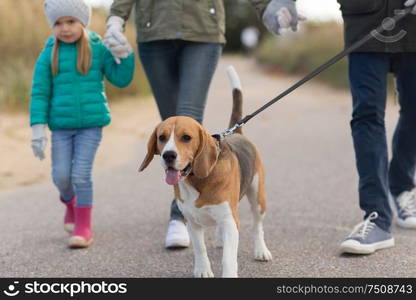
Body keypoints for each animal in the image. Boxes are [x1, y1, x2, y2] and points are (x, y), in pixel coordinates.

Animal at [138, 67, 272, 278]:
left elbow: (228, 259)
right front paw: (202, 270)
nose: (168, 155)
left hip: (258, 198)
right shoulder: (192, 222)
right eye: (162, 137)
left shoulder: (229, 221)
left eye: (186, 137)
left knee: (257, 226)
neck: (196, 181)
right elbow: (200, 249)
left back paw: (261, 250)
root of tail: (237, 132)